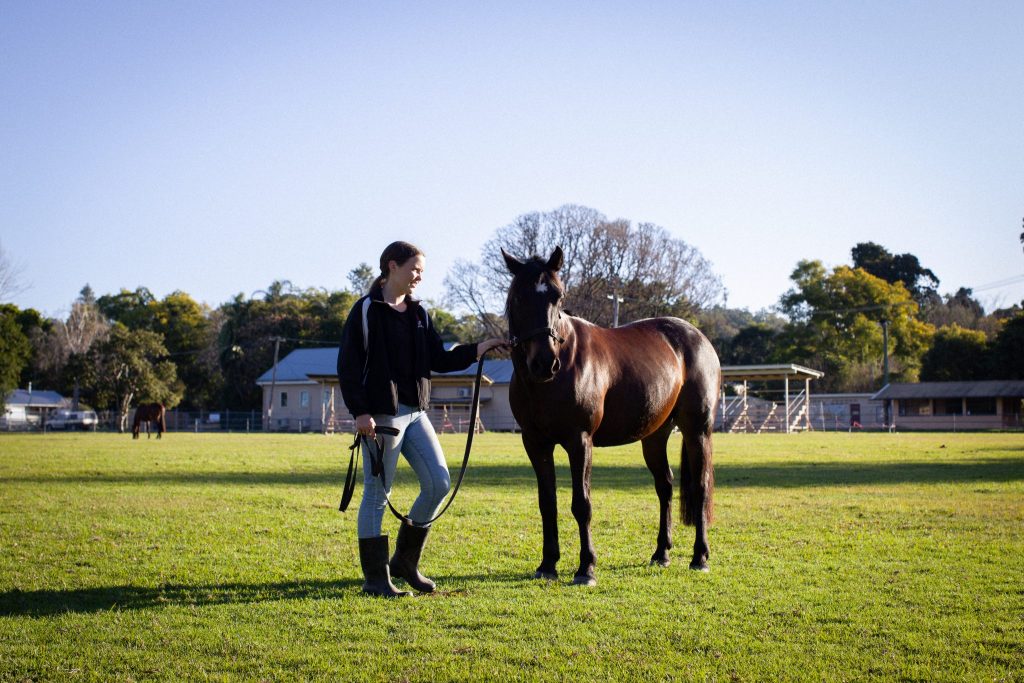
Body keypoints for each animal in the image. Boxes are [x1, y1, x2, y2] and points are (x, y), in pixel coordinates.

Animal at [503, 248, 720, 585]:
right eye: (518, 297)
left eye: (558, 296)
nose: (544, 363)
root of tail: (698, 337)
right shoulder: (535, 443)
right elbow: (547, 503)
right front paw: (548, 564)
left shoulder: (580, 441)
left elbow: (582, 504)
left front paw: (586, 568)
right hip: (655, 437)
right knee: (665, 486)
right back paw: (661, 553)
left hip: (697, 431)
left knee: (699, 487)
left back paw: (700, 557)